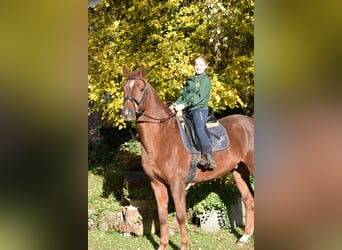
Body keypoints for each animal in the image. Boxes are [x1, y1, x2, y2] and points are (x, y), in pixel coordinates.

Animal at [121, 66, 254, 250]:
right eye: (124, 89)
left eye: (141, 89)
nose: (127, 113)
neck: (162, 137)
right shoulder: (157, 184)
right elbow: (162, 216)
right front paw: (162, 245)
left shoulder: (177, 184)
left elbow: (180, 216)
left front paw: (184, 245)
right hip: (239, 171)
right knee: (249, 200)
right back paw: (244, 237)